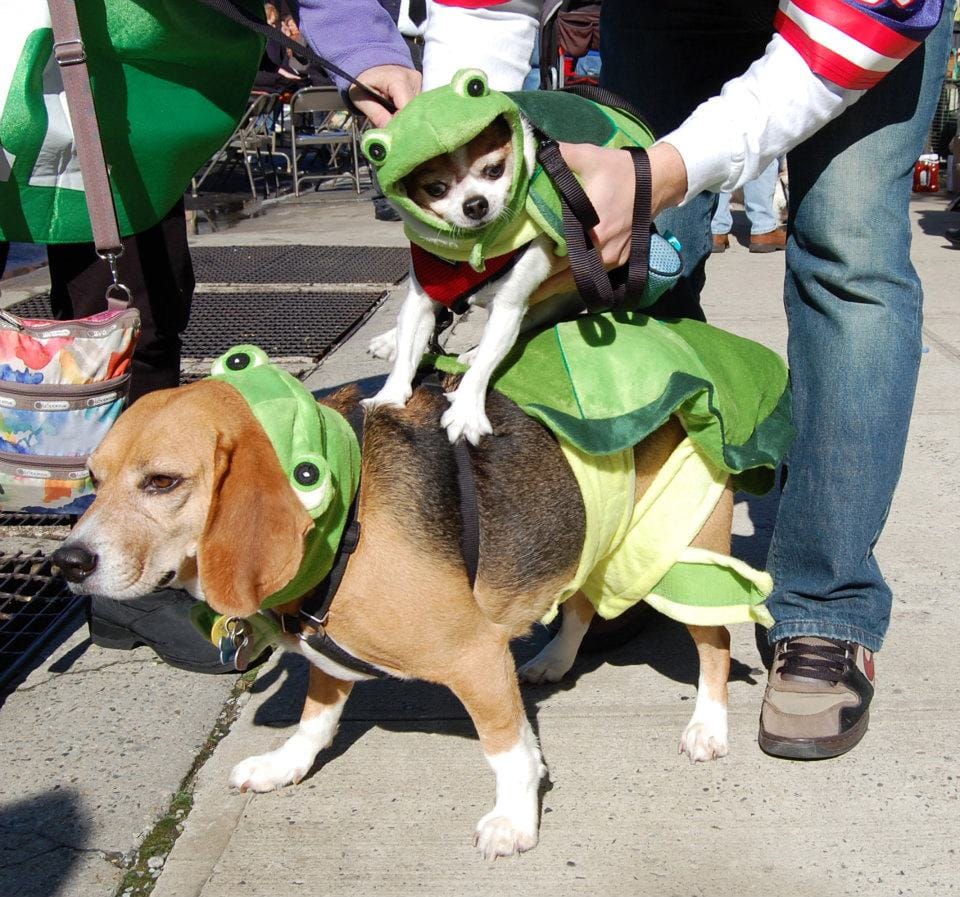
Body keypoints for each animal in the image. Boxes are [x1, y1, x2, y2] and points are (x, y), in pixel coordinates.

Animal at [56, 374, 736, 856]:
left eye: (162, 482)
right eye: (92, 478)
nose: (67, 561)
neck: (340, 500)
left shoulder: (475, 658)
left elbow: (508, 750)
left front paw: (514, 820)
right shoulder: (330, 652)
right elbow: (315, 719)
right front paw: (285, 764)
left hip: (682, 553)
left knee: (717, 643)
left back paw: (708, 726)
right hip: (594, 531)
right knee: (584, 602)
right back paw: (554, 660)